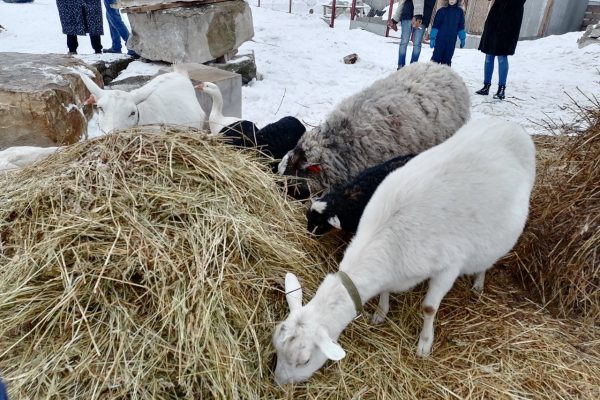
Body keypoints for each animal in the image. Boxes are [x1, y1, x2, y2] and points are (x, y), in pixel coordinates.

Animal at [272, 118, 536, 384]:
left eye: (305, 360)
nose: (279, 383)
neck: (386, 237)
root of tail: (507, 124)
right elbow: (385, 291)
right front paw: (381, 313)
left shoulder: (448, 268)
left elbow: (429, 308)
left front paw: (424, 344)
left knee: (486, 260)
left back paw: (479, 283)